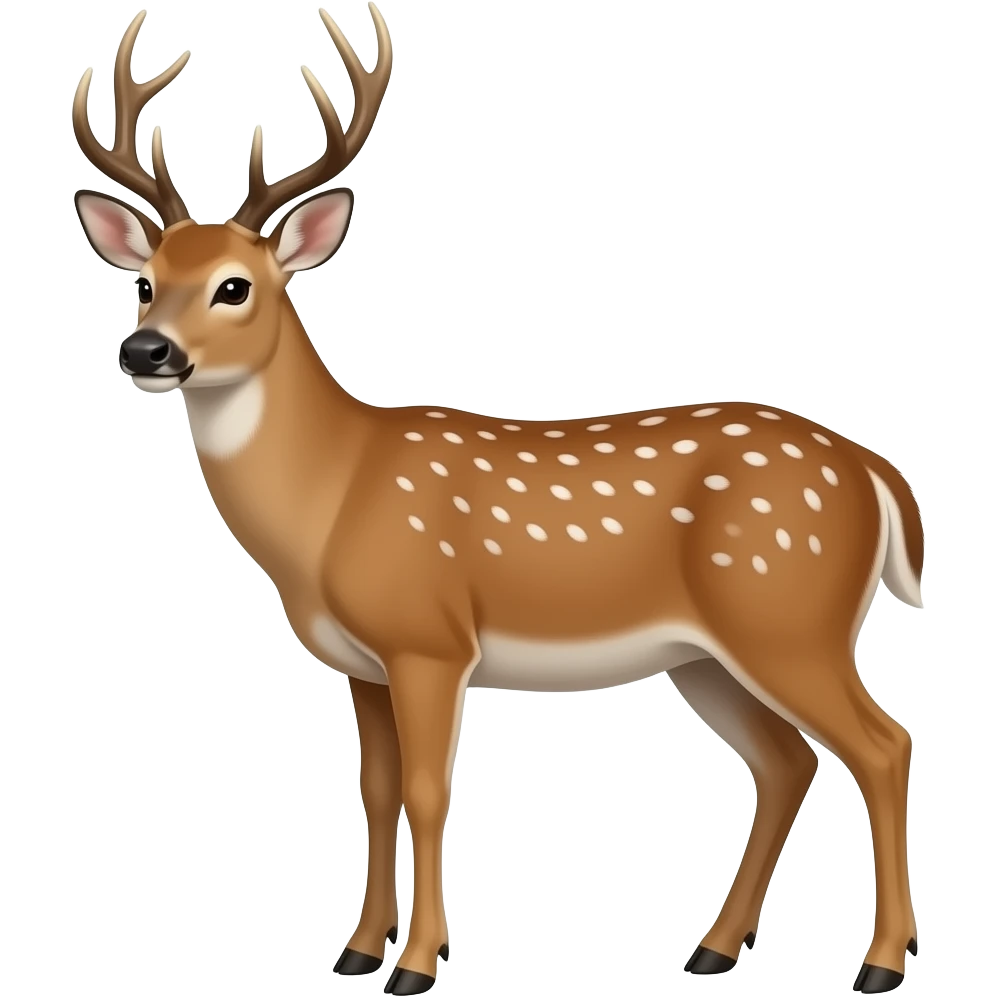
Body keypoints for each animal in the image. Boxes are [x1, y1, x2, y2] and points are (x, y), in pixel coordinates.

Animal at [72, 7, 925, 995]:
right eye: (146, 281)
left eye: (234, 285)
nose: (145, 350)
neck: (332, 498)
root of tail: (874, 472)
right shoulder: (363, 662)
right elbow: (375, 791)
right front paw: (356, 948)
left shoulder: (431, 637)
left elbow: (429, 791)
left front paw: (415, 963)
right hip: (707, 654)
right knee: (786, 762)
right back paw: (712, 948)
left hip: (788, 613)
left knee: (881, 743)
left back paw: (879, 962)